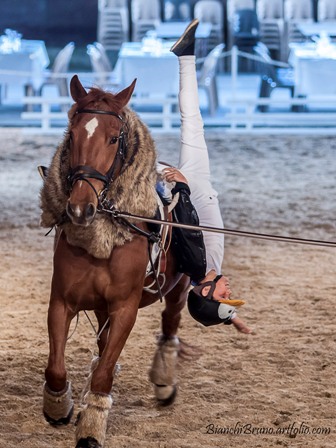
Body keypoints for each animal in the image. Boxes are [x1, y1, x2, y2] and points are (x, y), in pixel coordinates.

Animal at [39, 75, 190, 446]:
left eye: (113, 138)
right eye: (72, 134)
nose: (80, 208)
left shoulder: (125, 309)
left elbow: (105, 374)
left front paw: (91, 428)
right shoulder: (62, 301)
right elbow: (56, 367)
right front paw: (59, 407)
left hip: (179, 287)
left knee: (170, 321)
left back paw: (164, 382)